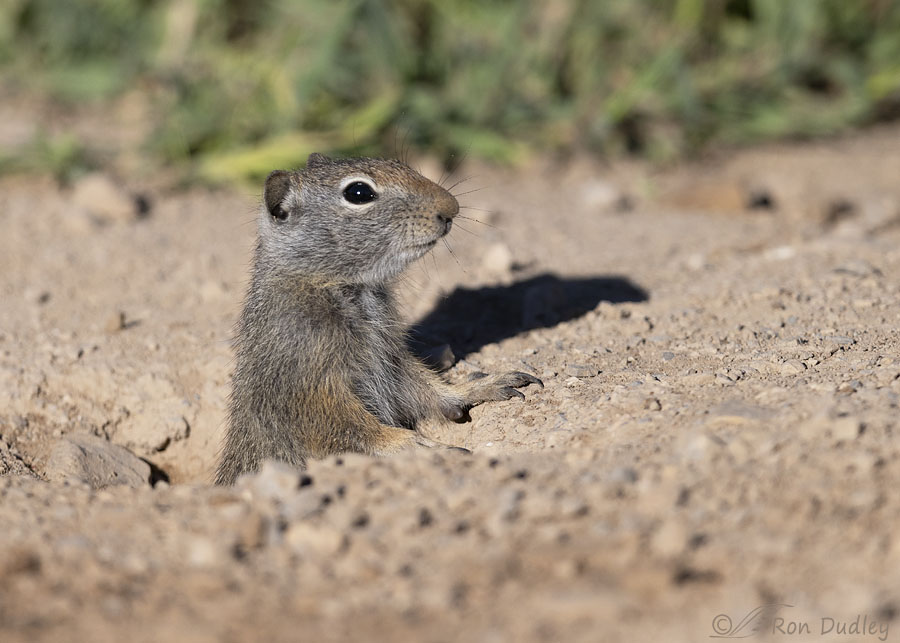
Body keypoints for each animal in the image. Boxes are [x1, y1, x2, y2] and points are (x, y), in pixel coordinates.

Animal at [215, 153, 542, 485]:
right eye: (359, 193)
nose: (452, 206)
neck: (333, 284)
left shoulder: (391, 362)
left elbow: (427, 388)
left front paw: (480, 385)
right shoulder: (309, 388)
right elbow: (353, 430)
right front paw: (421, 447)